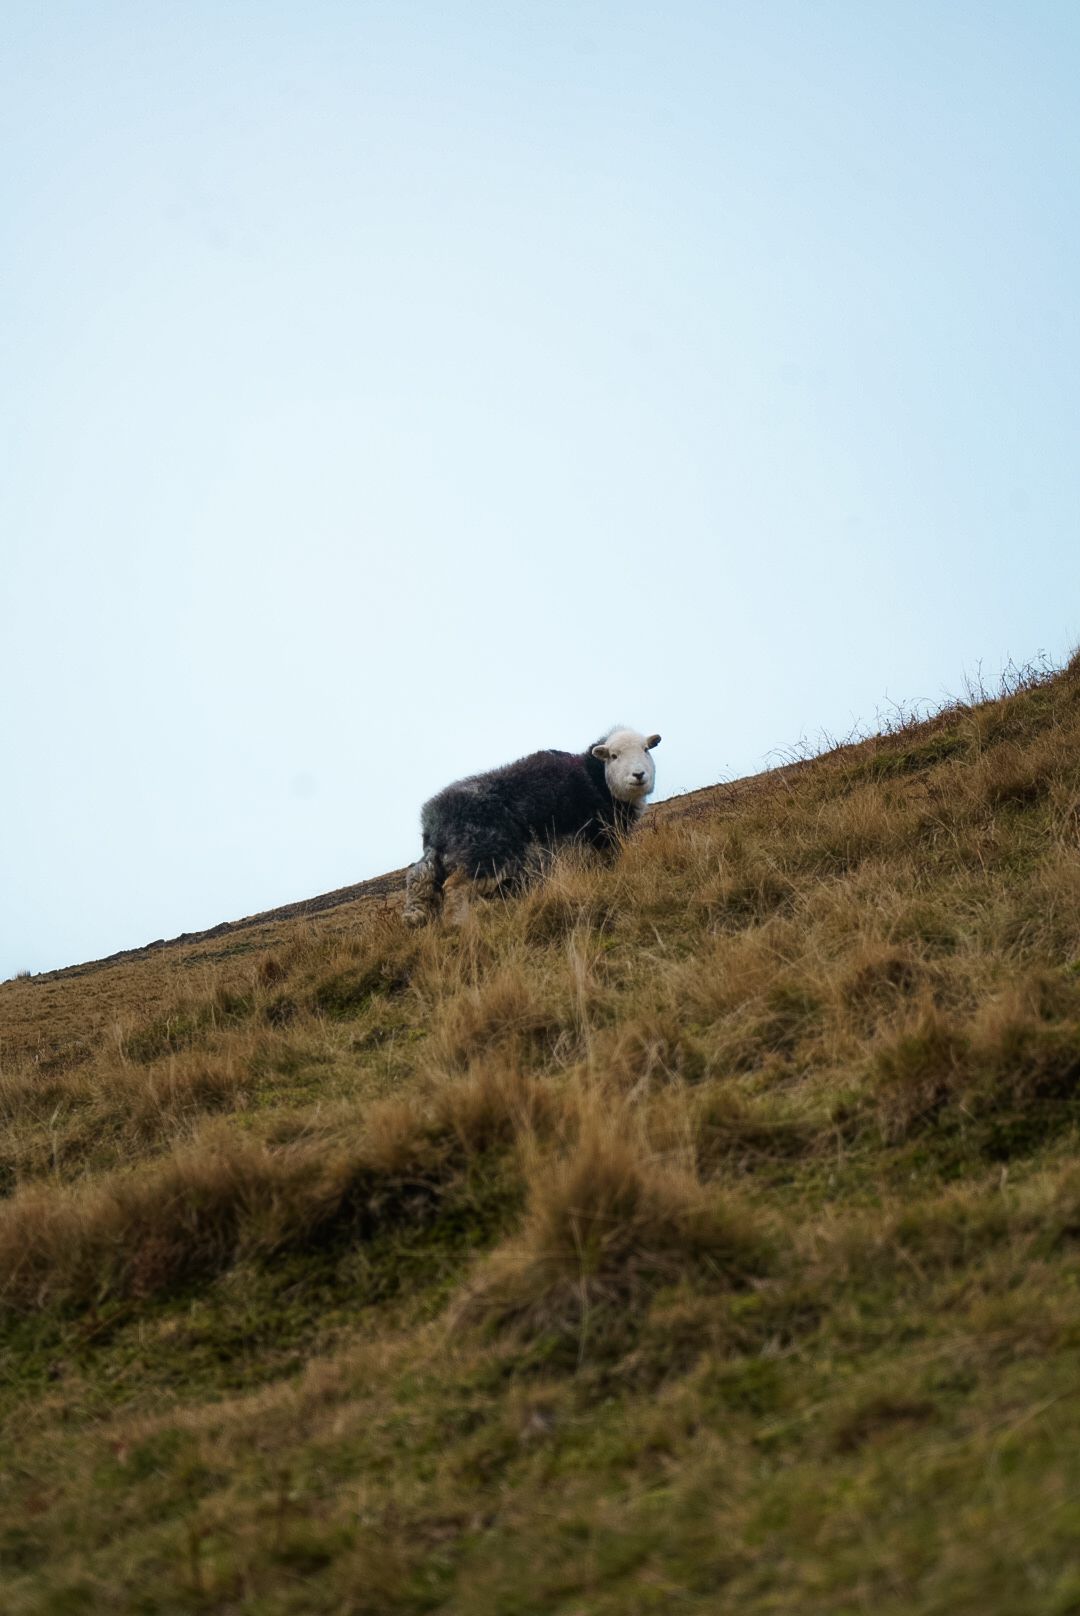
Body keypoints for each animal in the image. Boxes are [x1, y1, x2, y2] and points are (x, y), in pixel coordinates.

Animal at [402, 728, 662, 927]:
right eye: (614, 756)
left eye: (646, 749)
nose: (639, 775)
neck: (597, 780)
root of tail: (433, 820)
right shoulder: (600, 838)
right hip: (486, 853)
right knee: (454, 886)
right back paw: (458, 926)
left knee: (420, 880)